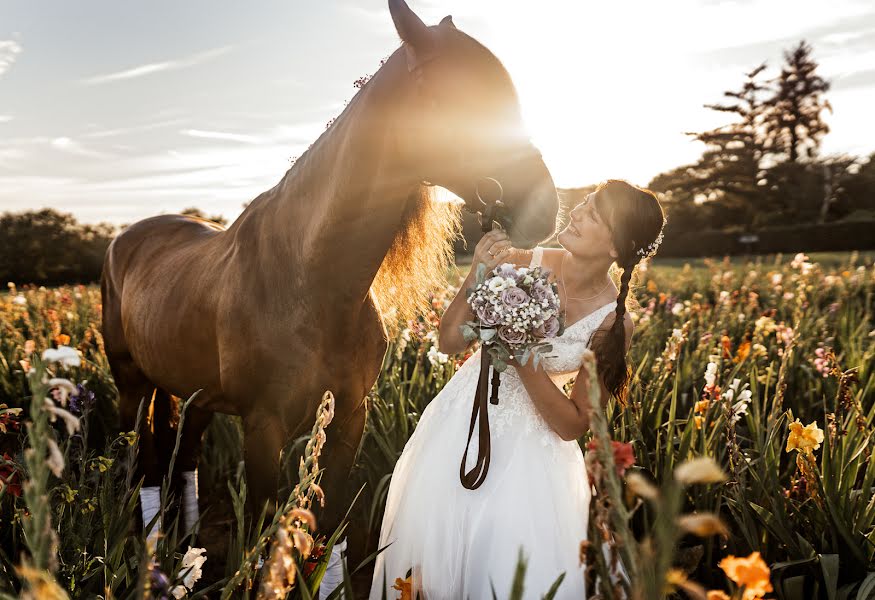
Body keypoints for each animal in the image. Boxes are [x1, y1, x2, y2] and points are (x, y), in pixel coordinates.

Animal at [99, 0, 556, 552]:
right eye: (460, 97)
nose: (546, 206)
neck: (311, 284)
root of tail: (127, 238)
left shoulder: (349, 420)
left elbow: (328, 527)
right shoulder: (263, 428)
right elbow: (259, 532)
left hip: (193, 397)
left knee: (182, 459)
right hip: (131, 386)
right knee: (138, 465)